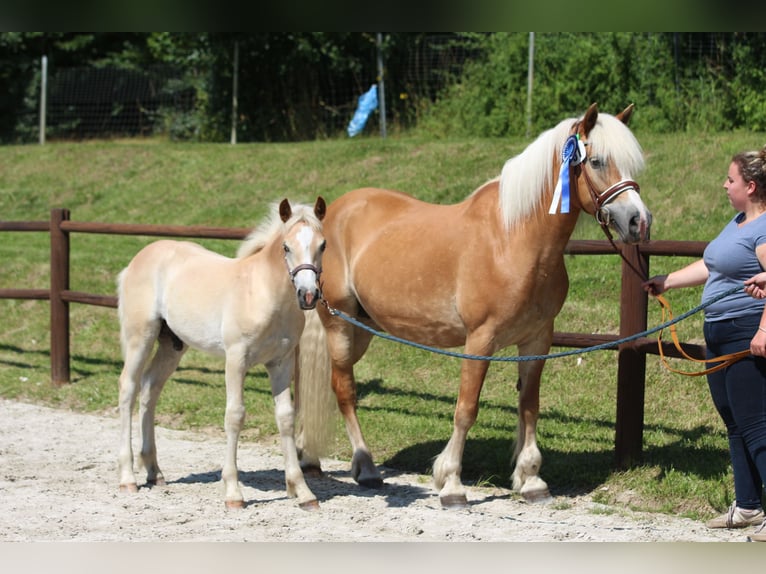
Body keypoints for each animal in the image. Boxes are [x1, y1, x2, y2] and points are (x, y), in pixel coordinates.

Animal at [117, 197, 328, 508]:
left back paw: (154, 472)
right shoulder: (236, 359)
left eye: (322, 245)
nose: (308, 295)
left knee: (149, 389)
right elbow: (235, 415)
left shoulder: (281, 362)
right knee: (129, 388)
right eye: (286, 247)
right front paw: (233, 493)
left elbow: (286, 418)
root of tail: (136, 261)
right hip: (139, 338)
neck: (262, 294)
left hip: (171, 345)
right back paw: (128, 478)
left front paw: (302, 491)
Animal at [298, 103, 656, 508]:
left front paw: (531, 479)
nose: (639, 221)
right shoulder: (479, 340)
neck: (512, 239)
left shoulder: (537, 340)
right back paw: (366, 467)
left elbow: (529, 405)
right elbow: (467, 409)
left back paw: (307, 457)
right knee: (344, 391)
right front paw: (452, 482)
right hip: (339, 325)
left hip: (362, 328)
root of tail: (331, 216)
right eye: (595, 161)